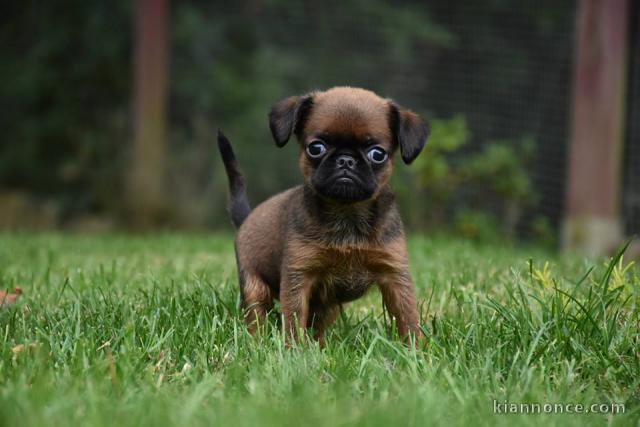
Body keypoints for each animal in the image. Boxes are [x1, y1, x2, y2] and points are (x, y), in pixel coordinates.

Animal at [216, 87, 430, 348]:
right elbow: (294, 318)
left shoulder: (394, 274)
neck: (347, 214)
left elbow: (407, 315)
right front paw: (292, 350)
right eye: (316, 148)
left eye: (377, 154)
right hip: (254, 286)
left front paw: (416, 349)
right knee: (257, 317)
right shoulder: (298, 277)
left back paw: (319, 347)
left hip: (327, 304)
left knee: (317, 324)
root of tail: (247, 218)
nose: (346, 160)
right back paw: (257, 343)